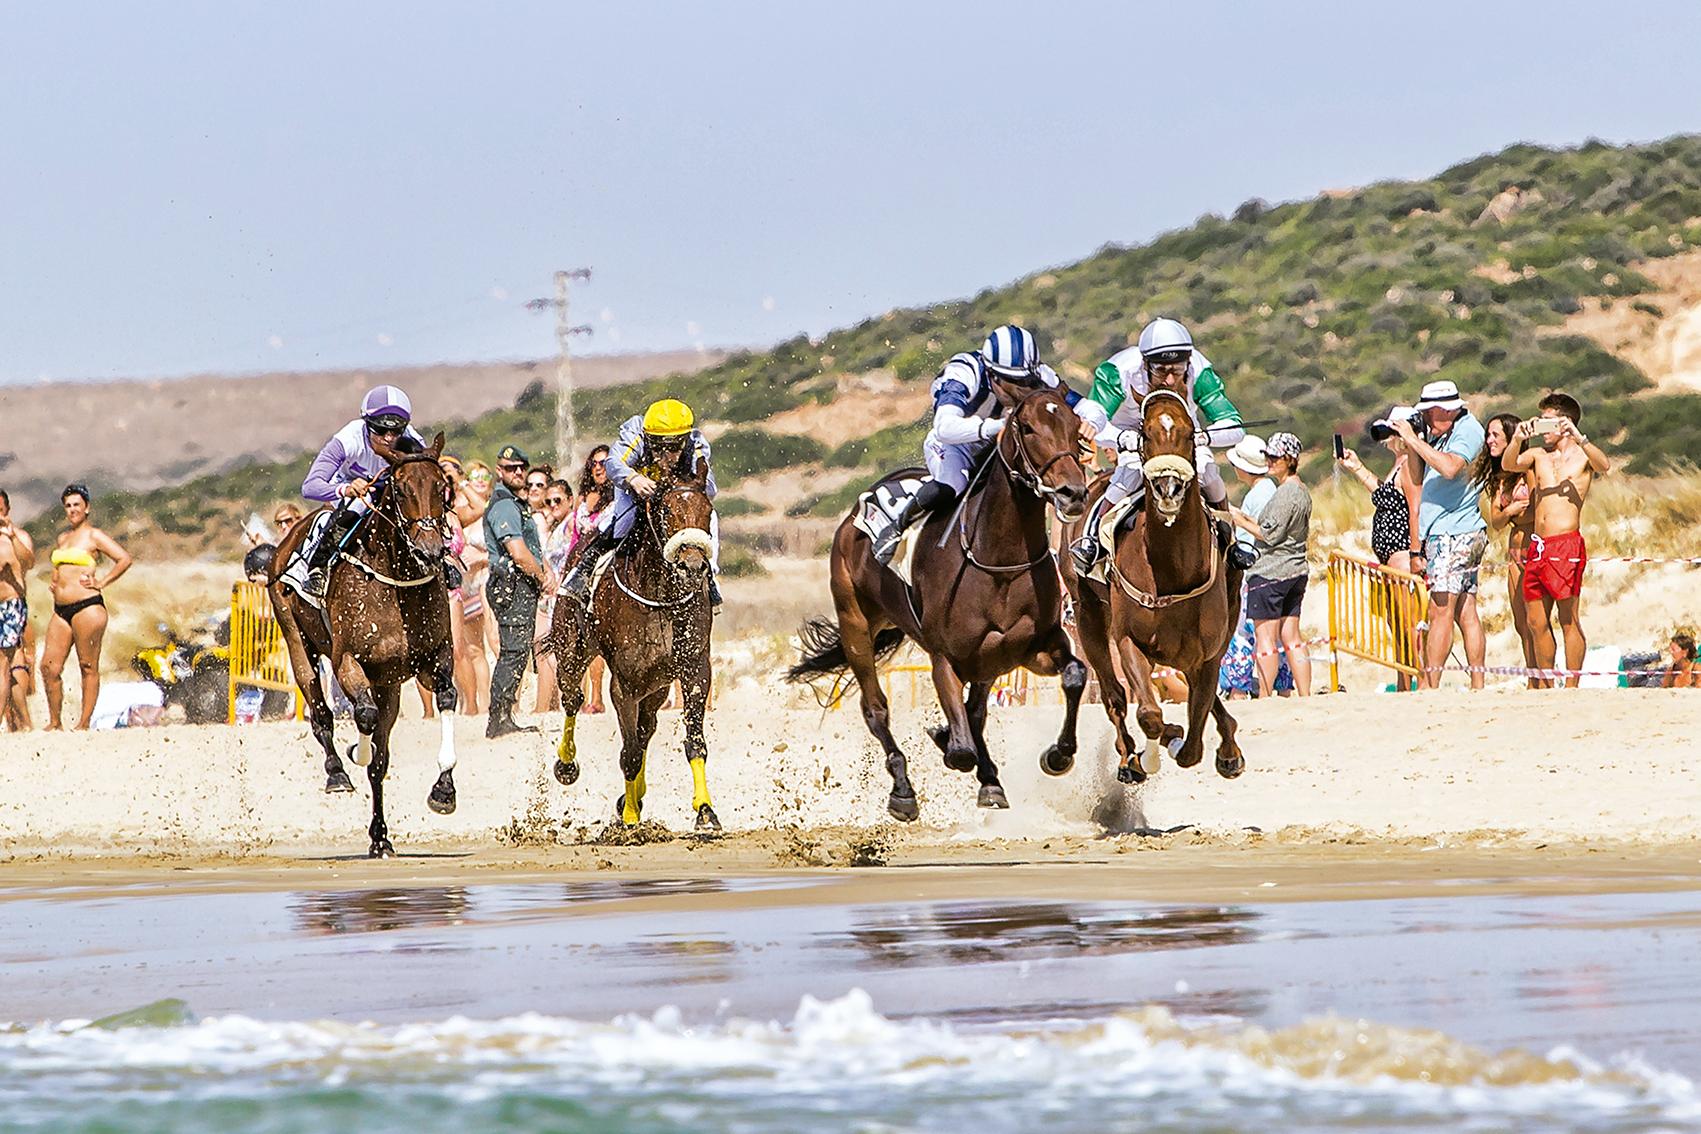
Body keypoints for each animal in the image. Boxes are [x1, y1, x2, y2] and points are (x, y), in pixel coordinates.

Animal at [269, 433, 459, 857]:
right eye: (400, 489)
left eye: (442, 487)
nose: (429, 552)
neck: (396, 583)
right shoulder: (347, 662)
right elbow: (365, 720)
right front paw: (357, 751)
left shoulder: (432, 659)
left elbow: (447, 699)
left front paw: (444, 790)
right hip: (297, 639)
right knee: (321, 712)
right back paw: (337, 772)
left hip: (388, 683)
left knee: (378, 751)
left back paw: (380, 837)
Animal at [548, 446, 719, 831]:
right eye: (668, 510)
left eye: (707, 511)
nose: (692, 566)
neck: (660, 595)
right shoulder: (624, 682)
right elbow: (628, 753)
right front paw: (629, 821)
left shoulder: (694, 670)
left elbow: (693, 742)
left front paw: (704, 810)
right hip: (571, 649)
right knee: (573, 697)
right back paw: (567, 764)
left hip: (656, 685)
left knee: (646, 728)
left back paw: (635, 795)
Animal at [787, 376, 1090, 821]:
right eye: (1027, 427)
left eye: (1074, 427)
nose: (1073, 493)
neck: (997, 560)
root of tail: (852, 517)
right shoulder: (946, 657)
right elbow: (960, 748)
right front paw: (947, 740)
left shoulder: (1031, 646)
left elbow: (1074, 675)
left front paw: (1058, 755)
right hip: (856, 625)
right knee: (876, 709)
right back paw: (903, 790)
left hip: (985, 657)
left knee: (976, 712)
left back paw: (988, 777)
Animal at [1058, 390, 1245, 783]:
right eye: (1145, 434)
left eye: (1190, 434)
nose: (1168, 488)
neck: (1173, 570)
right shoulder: (1129, 640)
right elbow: (1150, 716)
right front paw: (1148, 754)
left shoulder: (1208, 651)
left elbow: (1193, 737)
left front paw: (1220, 748)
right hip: (1087, 615)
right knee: (1114, 696)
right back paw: (1128, 756)